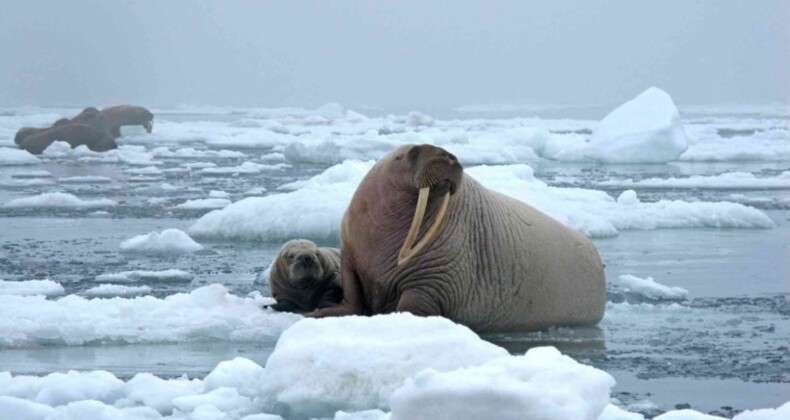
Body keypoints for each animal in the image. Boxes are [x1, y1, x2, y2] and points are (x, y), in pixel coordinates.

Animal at [310, 143, 608, 334]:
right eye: (413, 152)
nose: (449, 156)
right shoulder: (351, 256)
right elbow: (352, 294)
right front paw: (317, 313)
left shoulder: (434, 278)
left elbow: (413, 305)